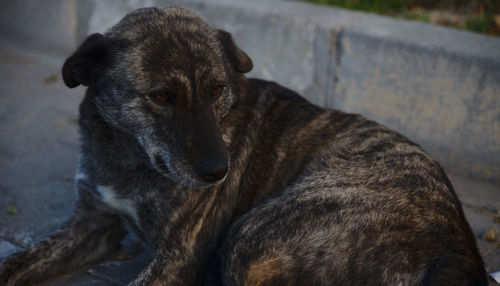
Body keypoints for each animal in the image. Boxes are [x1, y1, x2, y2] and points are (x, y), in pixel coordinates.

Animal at [0, 6, 486, 286]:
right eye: (161, 97)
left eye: (216, 90)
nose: (219, 172)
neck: (128, 155)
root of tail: (458, 243)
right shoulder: (92, 224)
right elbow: (20, 261)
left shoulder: (177, 257)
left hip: (251, 236)